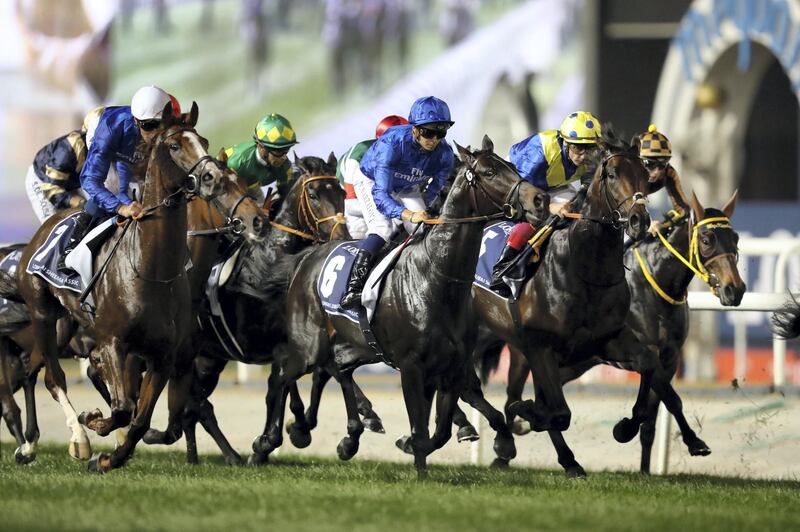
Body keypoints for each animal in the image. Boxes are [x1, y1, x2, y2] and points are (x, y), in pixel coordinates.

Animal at [15, 102, 238, 472]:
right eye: (175, 145)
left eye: (203, 141)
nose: (213, 177)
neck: (151, 269)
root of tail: (44, 228)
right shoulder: (113, 343)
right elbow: (122, 409)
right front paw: (94, 423)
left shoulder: (163, 355)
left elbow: (140, 419)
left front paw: (111, 459)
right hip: (42, 312)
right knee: (52, 377)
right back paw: (76, 440)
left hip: (64, 324)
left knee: (32, 368)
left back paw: (32, 444)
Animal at [262, 136, 552, 474]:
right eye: (490, 172)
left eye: (512, 166)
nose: (540, 200)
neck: (436, 278)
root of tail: (307, 257)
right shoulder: (411, 366)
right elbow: (422, 426)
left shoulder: (450, 367)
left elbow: (438, 430)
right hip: (309, 345)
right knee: (283, 376)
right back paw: (274, 438)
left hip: (353, 344)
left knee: (336, 369)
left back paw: (347, 435)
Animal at [472, 130, 652, 478]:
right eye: (612, 175)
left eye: (646, 175)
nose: (639, 220)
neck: (586, 270)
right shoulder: (542, 346)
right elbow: (556, 412)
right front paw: (527, 415)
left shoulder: (605, 340)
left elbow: (649, 367)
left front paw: (624, 427)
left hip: (518, 349)